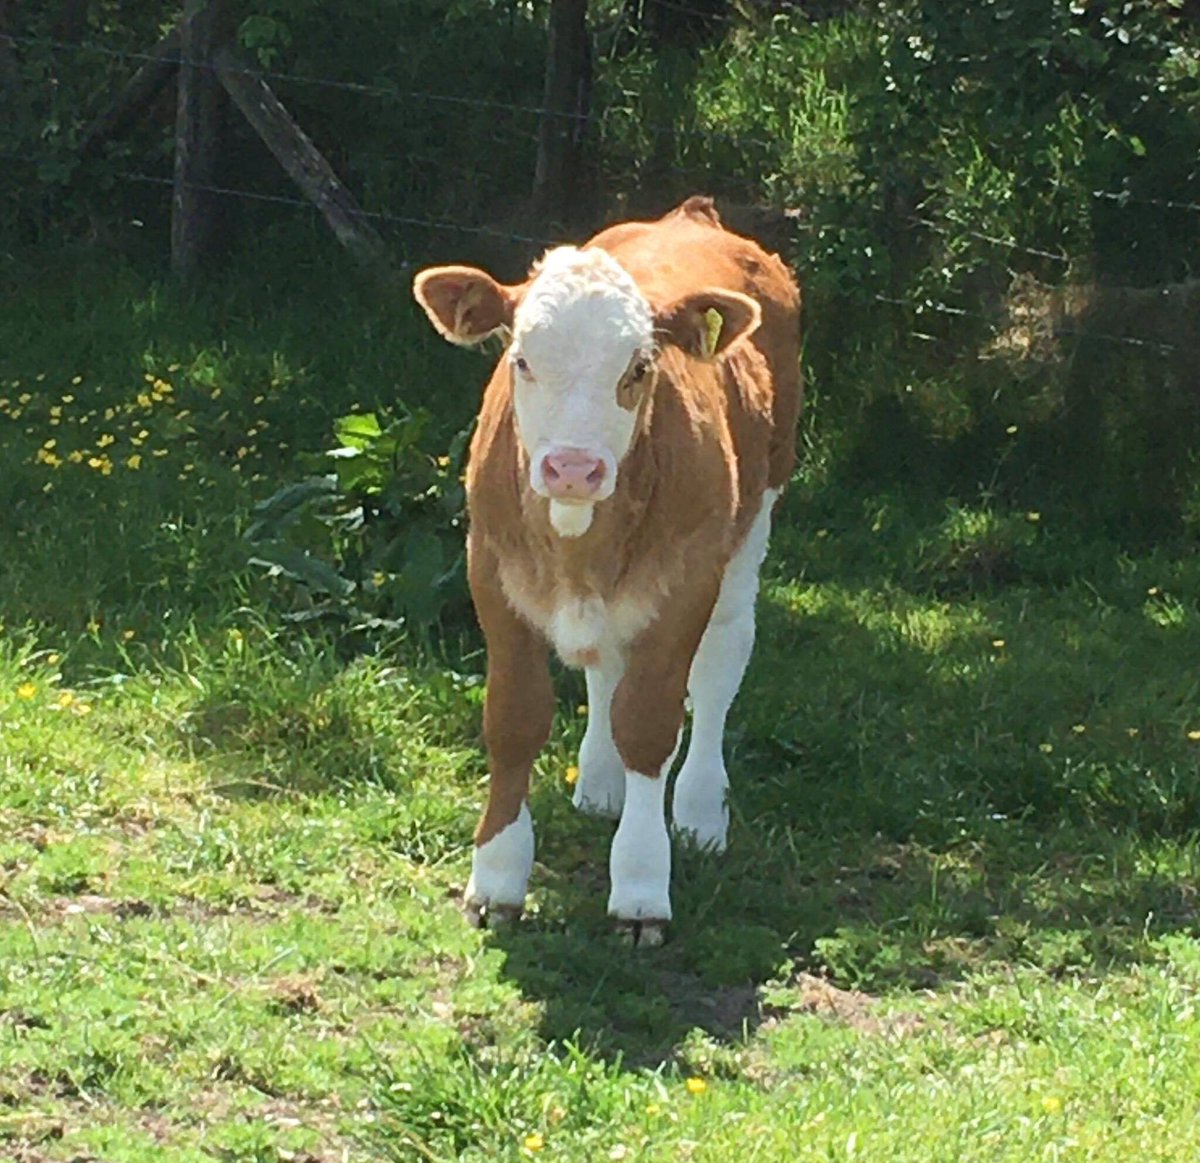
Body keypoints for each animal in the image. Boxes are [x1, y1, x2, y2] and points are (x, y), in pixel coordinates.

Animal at [413, 196, 801, 944]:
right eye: (521, 359)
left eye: (640, 368)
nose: (572, 467)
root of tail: (691, 214)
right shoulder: (490, 569)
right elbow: (514, 720)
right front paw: (497, 878)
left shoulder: (687, 580)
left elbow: (649, 725)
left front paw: (642, 887)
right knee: (604, 666)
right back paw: (599, 782)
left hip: (757, 519)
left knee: (720, 664)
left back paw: (702, 811)